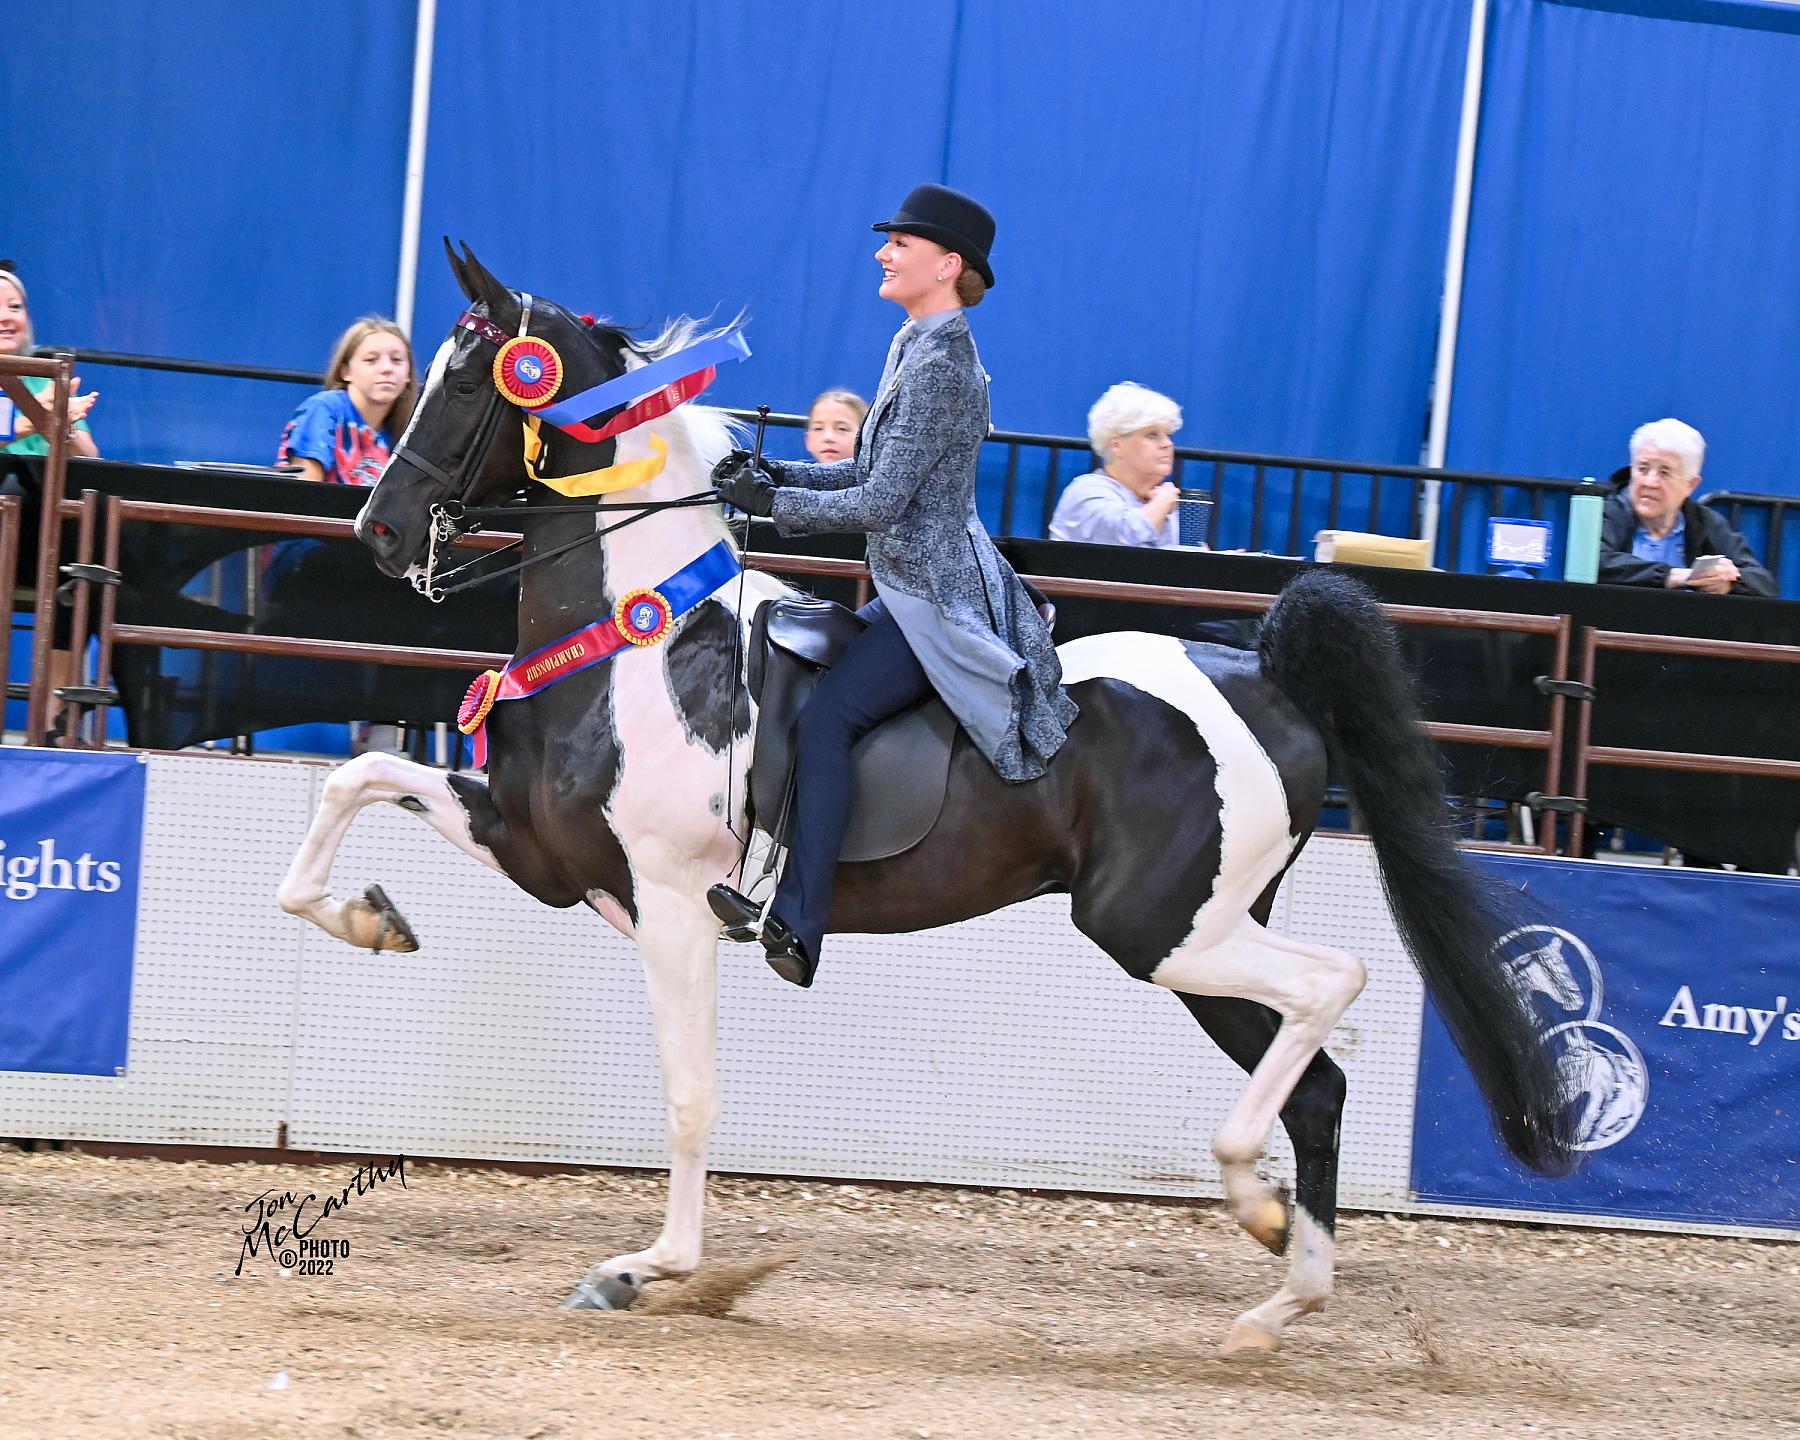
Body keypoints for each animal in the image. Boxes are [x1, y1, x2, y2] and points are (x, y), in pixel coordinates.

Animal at [273, 244, 1569, 1353]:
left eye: (465, 380)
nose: (377, 530)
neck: (645, 642)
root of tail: (1262, 673)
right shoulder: (539, 850)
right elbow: (354, 783)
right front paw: (369, 921)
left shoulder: (672, 905)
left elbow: (690, 1097)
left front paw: (647, 1270)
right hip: (1198, 937)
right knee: (1321, 1080)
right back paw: (1276, 1294)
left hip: (1159, 928)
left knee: (1332, 989)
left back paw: (1252, 1207)